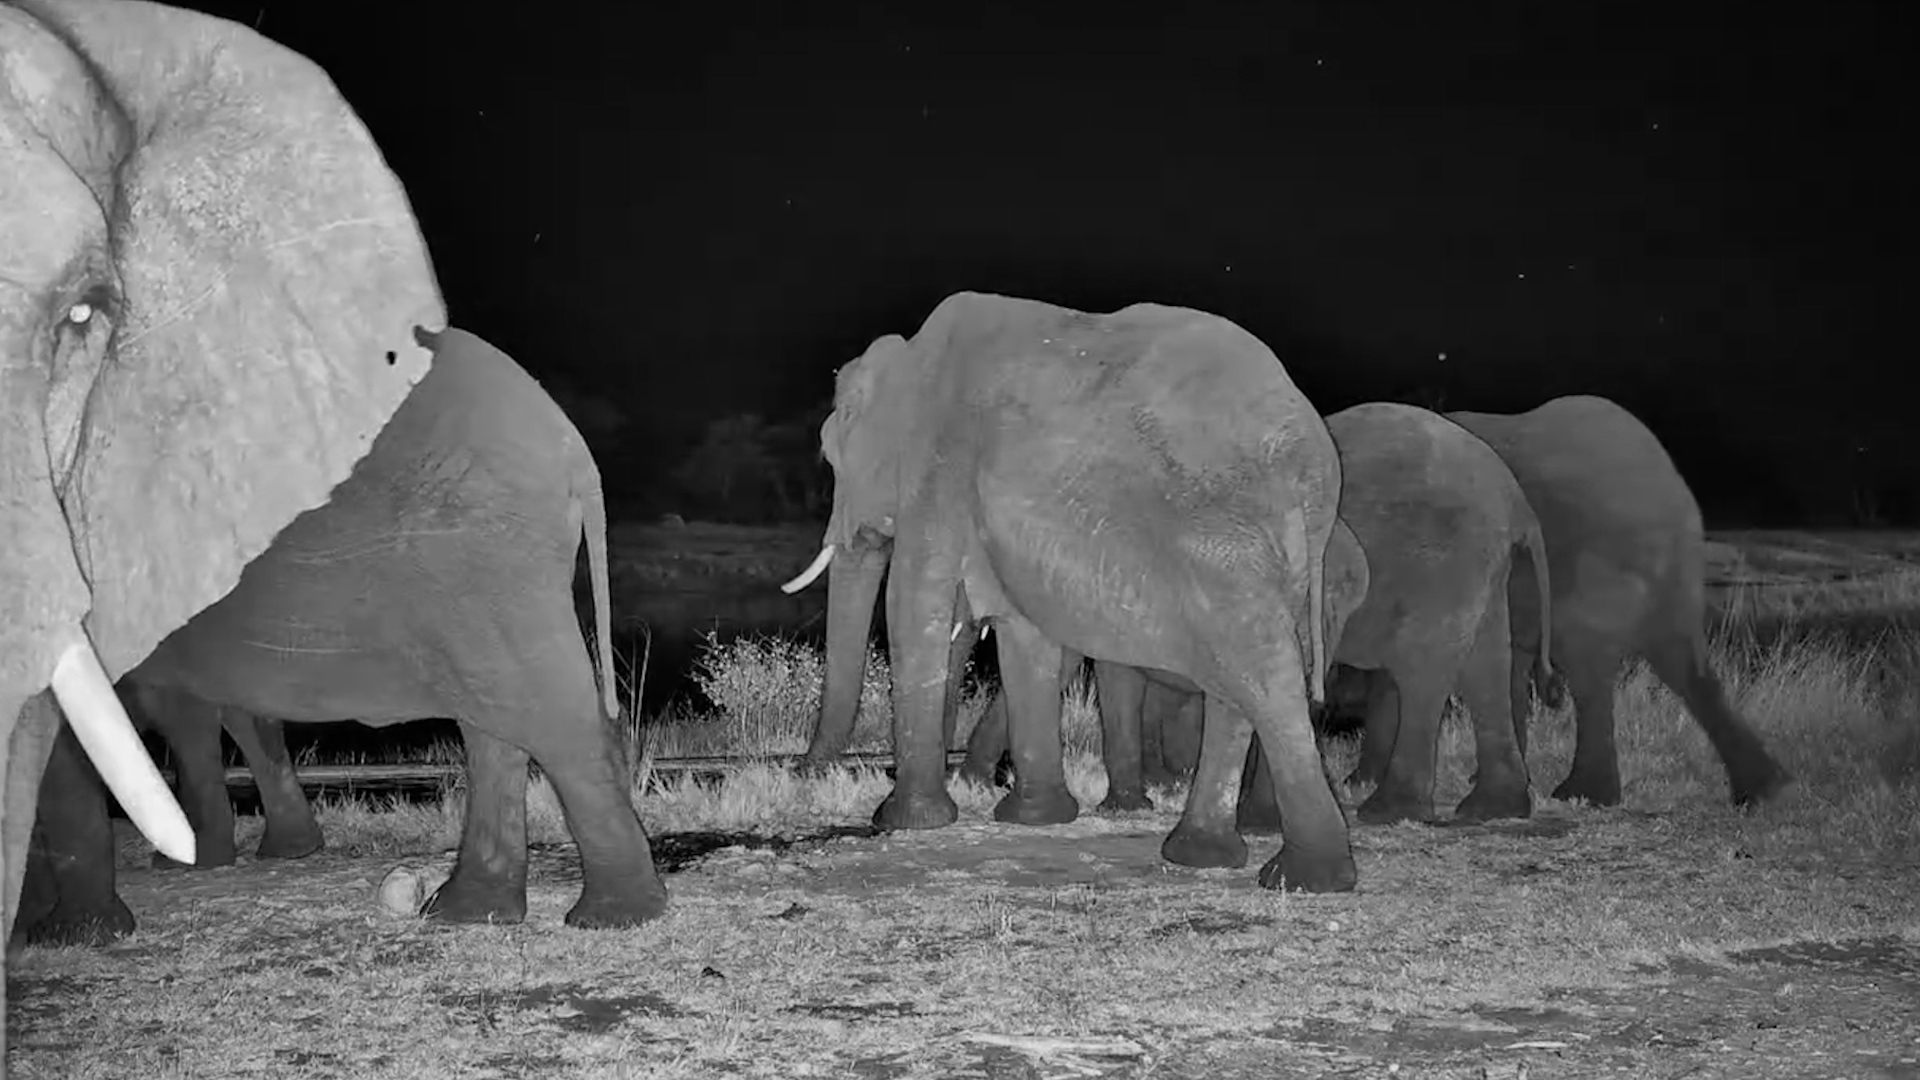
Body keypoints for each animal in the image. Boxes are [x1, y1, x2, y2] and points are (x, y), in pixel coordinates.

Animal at [18, 323, 670, 946]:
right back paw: (469, 912)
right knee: (495, 723)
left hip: (476, 551)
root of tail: (572, 447)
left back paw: (613, 918)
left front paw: (63, 934)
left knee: (543, 715)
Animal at [783, 291, 1355, 892]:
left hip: (1220, 537)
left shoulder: (939, 468)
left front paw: (906, 821)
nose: (804, 769)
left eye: (832, 458)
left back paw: (1304, 876)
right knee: (1240, 677)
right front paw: (1035, 817)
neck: (911, 360)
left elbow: (913, 604)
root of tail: (1312, 459)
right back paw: (1202, 855)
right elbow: (1022, 631)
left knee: (1260, 670)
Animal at [964, 402, 1555, 827]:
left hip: (1444, 562)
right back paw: (1491, 809)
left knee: (1423, 673)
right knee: (1486, 667)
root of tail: (1514, 498)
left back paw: (1390, 811)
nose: (978, 778)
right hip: (1480, 568)